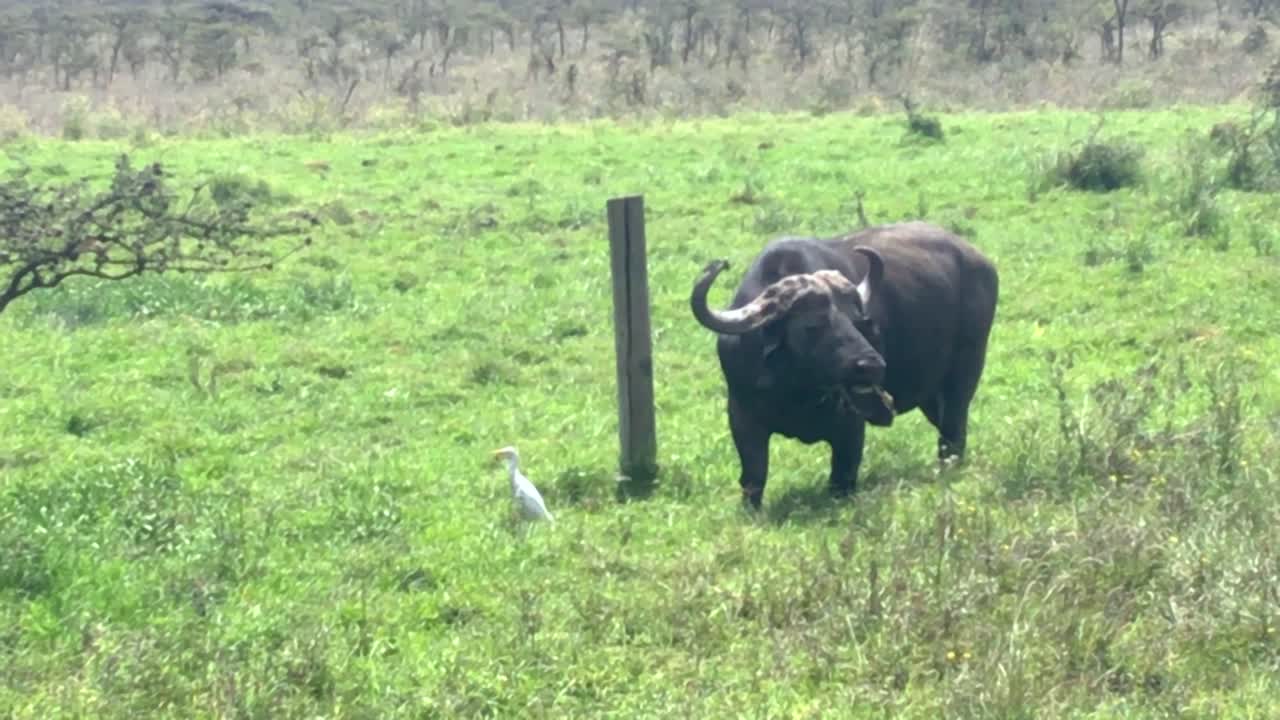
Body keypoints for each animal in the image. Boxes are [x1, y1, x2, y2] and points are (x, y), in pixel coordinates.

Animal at [690, 221, 999, 508]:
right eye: (813, 325)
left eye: (857, 321)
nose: (871, 365)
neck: (796, 391)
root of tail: (981, 262)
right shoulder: (742, 417)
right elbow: (754, 476)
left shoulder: (852, 426)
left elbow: (842, 477)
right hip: (930, 396)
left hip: (965, 375)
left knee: (953, 432)